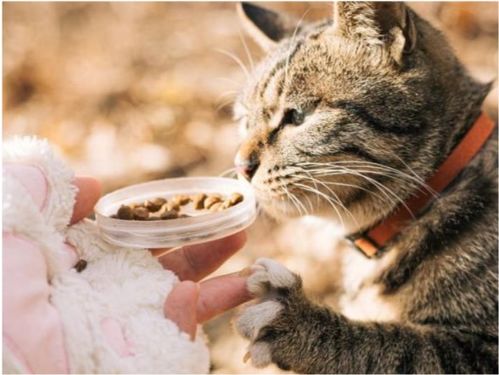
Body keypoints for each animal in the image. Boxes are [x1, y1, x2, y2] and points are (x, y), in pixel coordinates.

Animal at [232, 1, 498, 374]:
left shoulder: (482, 353)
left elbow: (397, 349)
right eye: (244, 121)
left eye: (297, 115)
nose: (241, 166)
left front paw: (302, 322)